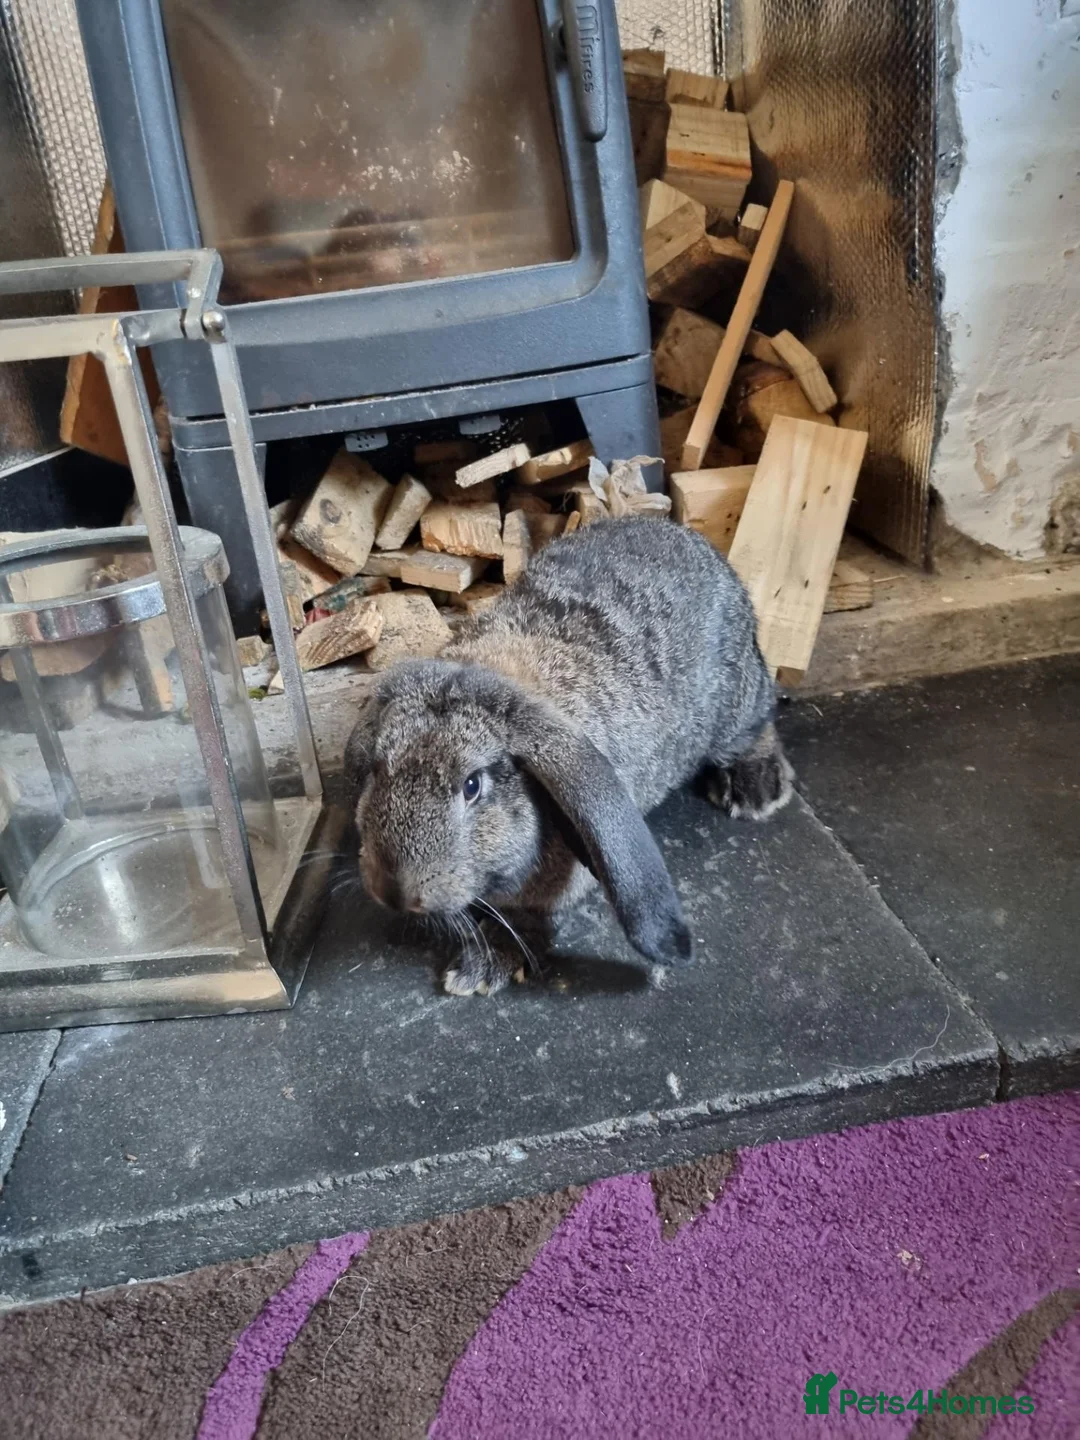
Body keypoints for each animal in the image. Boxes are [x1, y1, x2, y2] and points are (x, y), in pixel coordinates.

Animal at [345, 515, 794, 996]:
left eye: (472, 785)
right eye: (378, 768)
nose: (395, 892)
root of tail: (700, 546)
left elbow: (531, 915)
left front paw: (482, 968)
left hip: (734, 706)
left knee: (760, 719)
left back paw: (757, 788)